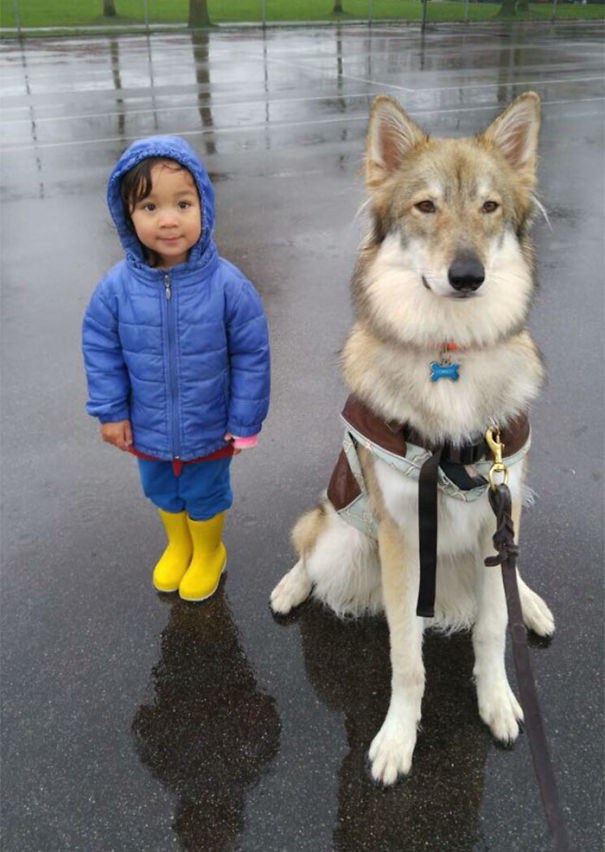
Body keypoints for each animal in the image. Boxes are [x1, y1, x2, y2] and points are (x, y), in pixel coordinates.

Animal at [272, 91, 556, 784]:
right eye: (425, 206)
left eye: (489, 207)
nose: (467, 275)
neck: (448, 352)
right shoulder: (403, 537)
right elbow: (407, 659)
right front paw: (399, 738)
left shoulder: (497, 516)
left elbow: (491, 630)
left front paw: (498, 700)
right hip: (346, 541)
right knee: (309, 544)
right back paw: (291, 586)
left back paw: (532, 604)